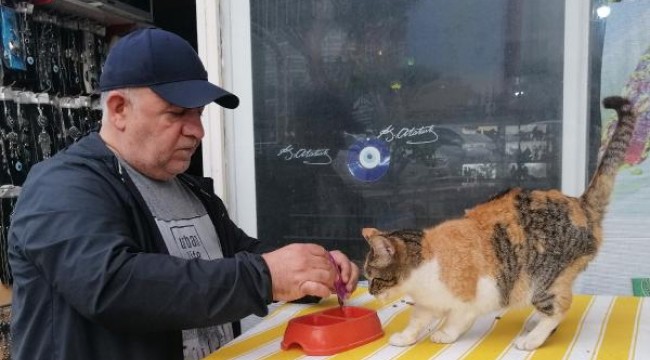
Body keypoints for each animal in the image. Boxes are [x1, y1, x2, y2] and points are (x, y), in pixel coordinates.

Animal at [362, 97, 636, 350]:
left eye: (373, 277)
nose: (370, 292)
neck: (426, 263)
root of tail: (580, 203)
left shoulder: (472, 299)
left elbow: (457, 319)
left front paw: (444, 334)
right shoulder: (426, 303)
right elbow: (417, 320)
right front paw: (405, 337)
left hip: (543, 280)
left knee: (560, 307)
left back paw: (532, 339)